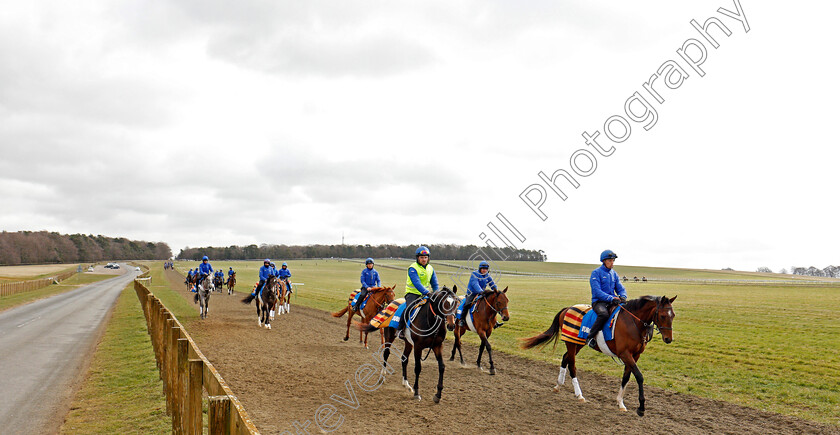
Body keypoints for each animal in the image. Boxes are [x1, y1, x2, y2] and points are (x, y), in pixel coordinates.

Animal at [520, 294, 676, 418]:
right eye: (663, 316)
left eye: (673, 315)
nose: (668, 339)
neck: (633, 323)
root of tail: (567, 308)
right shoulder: (625, 354)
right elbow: (639, 376)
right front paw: (641, 408)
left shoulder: (635, 355)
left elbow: (626, 377)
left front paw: (620, 403)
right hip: (571, 343)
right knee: (572, 365)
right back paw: (579, 395)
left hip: (578, 343)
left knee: (565, 358)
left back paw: (558, 385)